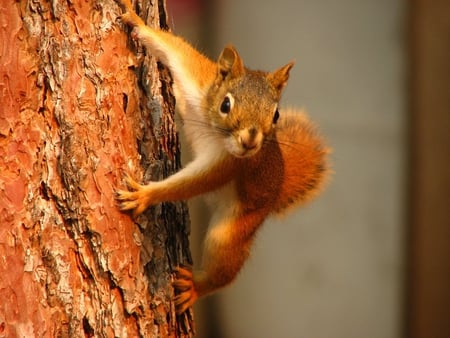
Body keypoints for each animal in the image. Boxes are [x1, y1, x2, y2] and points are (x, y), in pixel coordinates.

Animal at [114, 0, 328, 316]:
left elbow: (191, 184)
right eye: (226, 104)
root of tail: (275, 194)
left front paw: (145, 195)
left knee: (224, 271)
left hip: (232, 232)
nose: (250, 141)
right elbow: (174, 49)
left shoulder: (229, 164)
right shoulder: (198, 78)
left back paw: (196, 286)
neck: (213, 128)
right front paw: (135, 19)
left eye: (275, 115)